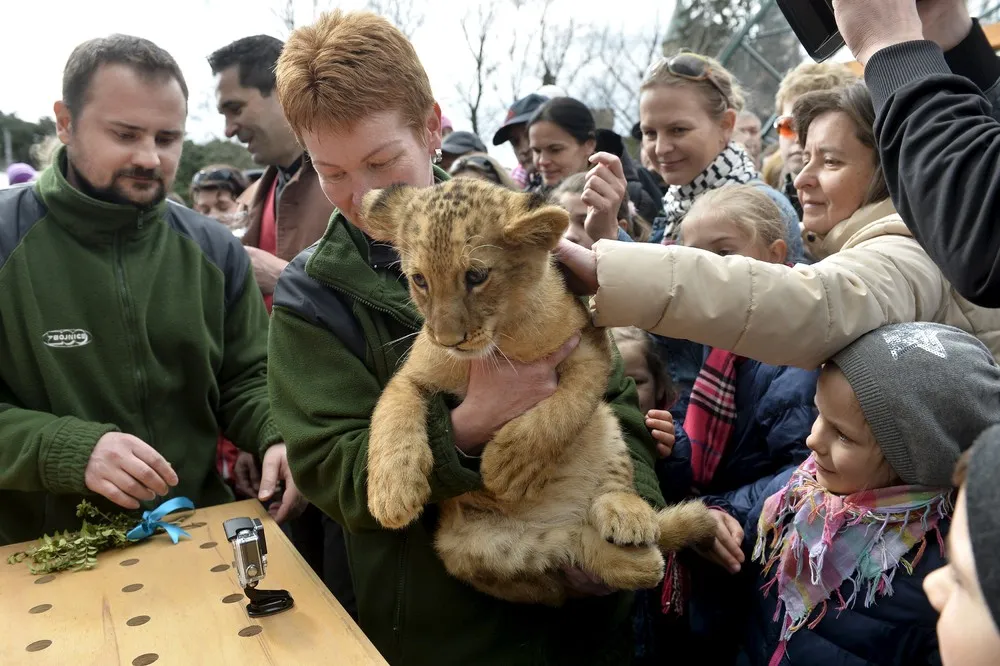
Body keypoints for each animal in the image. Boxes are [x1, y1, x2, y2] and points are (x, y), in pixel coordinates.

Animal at [359, 177, 714, 606]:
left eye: (476, 276)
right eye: (420, 280)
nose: (448, 340)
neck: (502, 340)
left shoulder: (591, 348)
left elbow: (565, 407)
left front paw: (510, 463)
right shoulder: (413, 375)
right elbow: (392, 412)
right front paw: (391, 493)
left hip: (606, 425)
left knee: (611, 485)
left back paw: (629, 516)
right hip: (477, 550)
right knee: (568, 546)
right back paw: (635, 561)